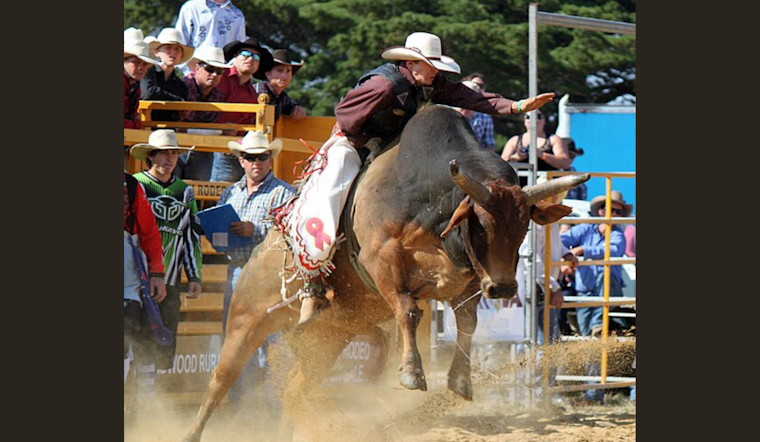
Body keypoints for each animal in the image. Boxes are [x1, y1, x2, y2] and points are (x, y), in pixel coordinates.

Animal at [182, 105, 589, 442]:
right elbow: (409, 312)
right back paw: (193, 432)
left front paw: (460, 380)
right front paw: (411, 373)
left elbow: (468, 323)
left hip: (332, 333)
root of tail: (261, 248)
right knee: (221, 380)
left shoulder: (467, 280)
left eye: (522, 228)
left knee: (297, 386)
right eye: (483, 225)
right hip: (246, 318)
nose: (503, 287)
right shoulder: (383, 261)